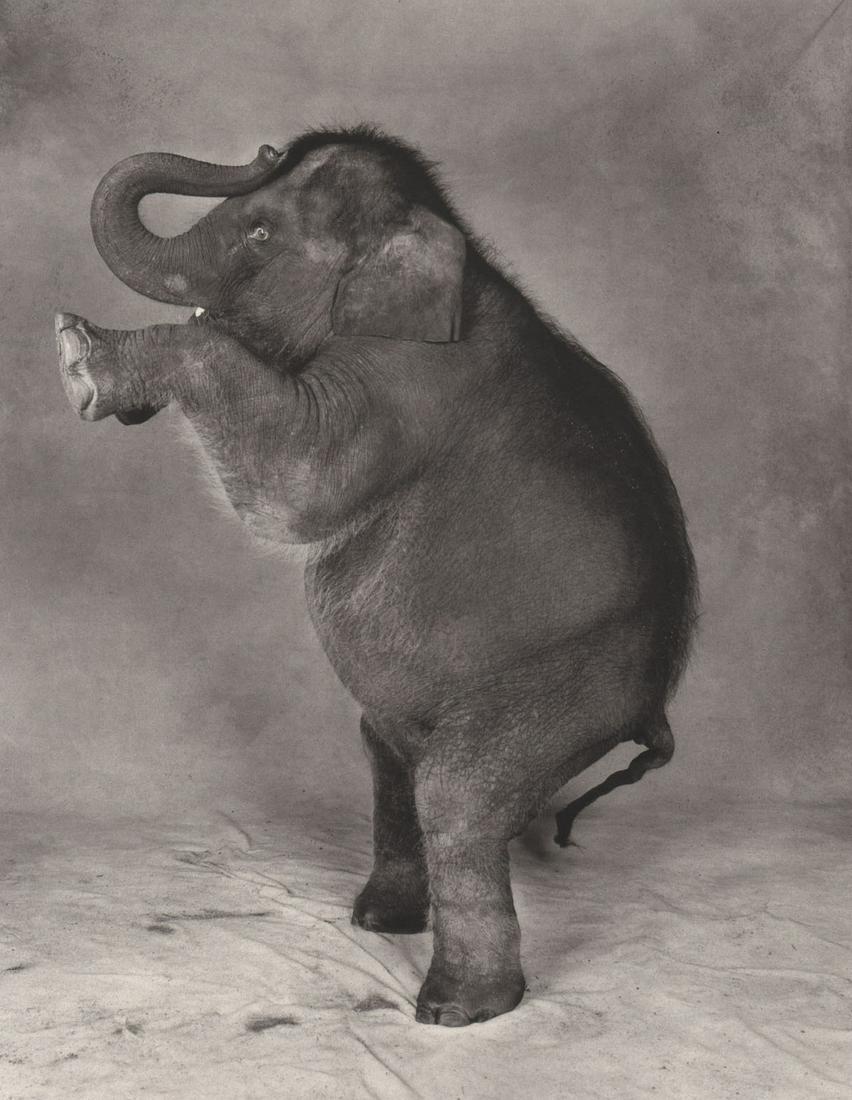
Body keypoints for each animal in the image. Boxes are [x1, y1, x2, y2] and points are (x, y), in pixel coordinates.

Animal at [55, 125, 698, 1026]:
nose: (265, 144)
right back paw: (382, 922)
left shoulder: (405, 391)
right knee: (391, 764)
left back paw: (458, 1008)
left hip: (572, 685)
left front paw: (79, 358)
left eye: (260, 233)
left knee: (456, 795)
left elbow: (295, 488)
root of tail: (655, 708)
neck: (444, 248)